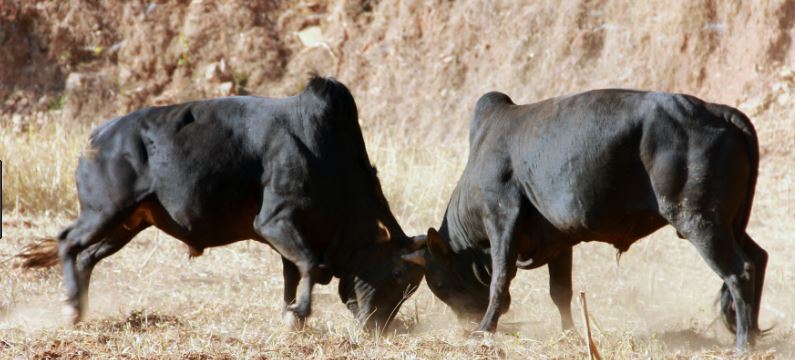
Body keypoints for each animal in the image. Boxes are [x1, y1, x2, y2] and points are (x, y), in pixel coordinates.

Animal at [56, 76, 430, 332]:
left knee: (87, 257)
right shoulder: (275, 222)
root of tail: (99, 134)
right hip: (104, 212)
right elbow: (309, 265)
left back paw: (81, 308)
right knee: (67, 241)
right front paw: (298, 316)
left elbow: (293, 276)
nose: (378, 327)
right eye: (398, 274)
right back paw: (71, 306)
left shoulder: (287, 237)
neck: (329, 160)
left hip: (129, 223)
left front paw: (291, 315)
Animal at [426, 88, 768, 350]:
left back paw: (742, 345)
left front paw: (483, 329)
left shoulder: (501, 219)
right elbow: (560, 292)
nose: (465, 320)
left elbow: (500, 279)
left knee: (739, 271)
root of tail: (719, 111)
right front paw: (569, 333)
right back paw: (751, 333)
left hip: (699, 221)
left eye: (440, 283)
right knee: (758, 257)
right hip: (727, 224)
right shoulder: (559, 242)